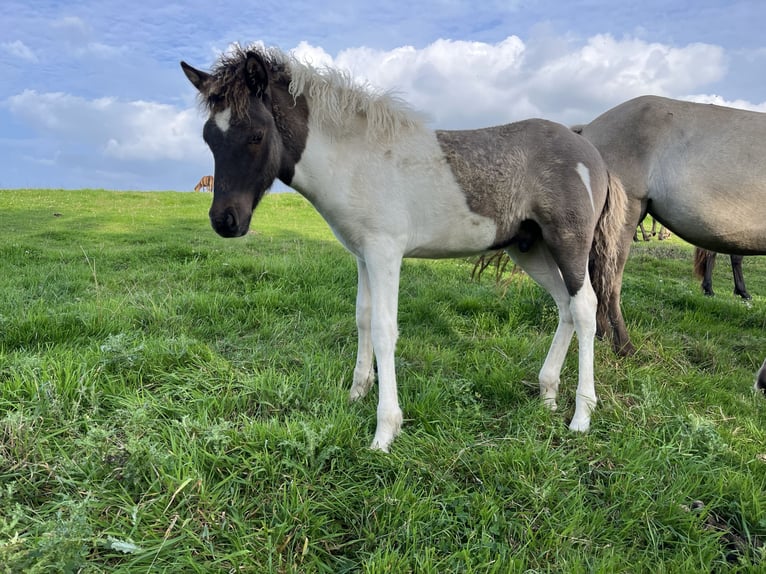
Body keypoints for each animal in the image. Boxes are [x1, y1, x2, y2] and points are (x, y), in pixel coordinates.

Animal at [180, 43, 627, 451]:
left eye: (256, 135)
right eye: (208, 137)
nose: (225, 221)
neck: (355, 160)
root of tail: (593, 153)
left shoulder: (385, 252)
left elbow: (384, 329)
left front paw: (384, 431)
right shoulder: (362, 254)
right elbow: (362, 318)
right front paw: (357, 393)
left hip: (568, 242)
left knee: (585, 307)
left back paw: (581, 414)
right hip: (530, 248)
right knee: (564, 305)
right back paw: (548, 394)